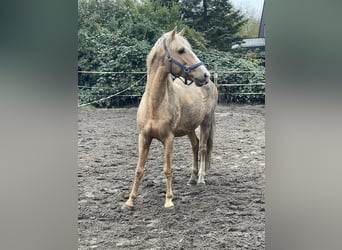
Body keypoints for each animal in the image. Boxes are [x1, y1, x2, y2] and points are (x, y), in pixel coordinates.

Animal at [126, 27, 219, 208]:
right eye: (181, 50)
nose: (205, 75)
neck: (155, 104)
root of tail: (211, 84)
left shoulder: (168, 139)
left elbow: (168, 169)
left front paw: (169, 200)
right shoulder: (144, 137)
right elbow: (139, 169)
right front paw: (130, 200)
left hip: (206, 123)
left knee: (203, 148)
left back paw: (201, 179)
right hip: (190, 128)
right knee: (195, 146)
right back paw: (192, 178)